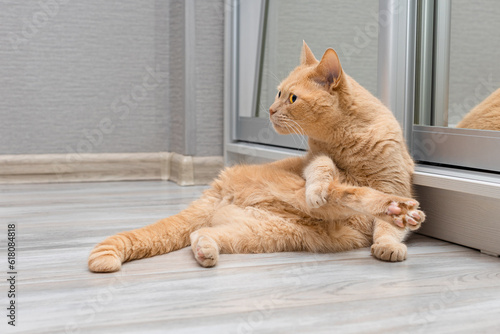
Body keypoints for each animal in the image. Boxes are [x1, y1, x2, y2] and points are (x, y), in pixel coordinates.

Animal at [89, 41, 426, 272]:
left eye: (292, 98)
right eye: (278, 93)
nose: (270, 110)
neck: (348, 142)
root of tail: (219, 188)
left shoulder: (395, 181)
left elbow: (388, 232)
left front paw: (387, 245)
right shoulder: (313, 159)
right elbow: (323, 168)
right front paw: (320, 185)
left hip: (262, 232)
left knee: (201, 232)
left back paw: (205, 250)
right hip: (299, 206)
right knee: (347, 194)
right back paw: (396, 208)